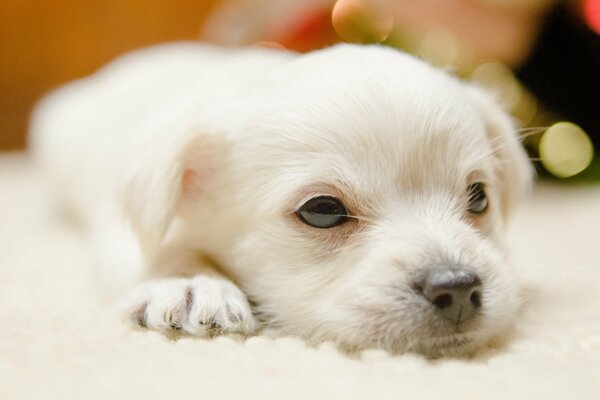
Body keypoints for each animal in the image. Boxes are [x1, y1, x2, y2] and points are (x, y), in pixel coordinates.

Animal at [30, 43, 532, 356]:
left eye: (478, 197)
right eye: (323, 211)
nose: (459, 288)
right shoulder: (119, 222)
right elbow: (161, 249)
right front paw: (190, 283)